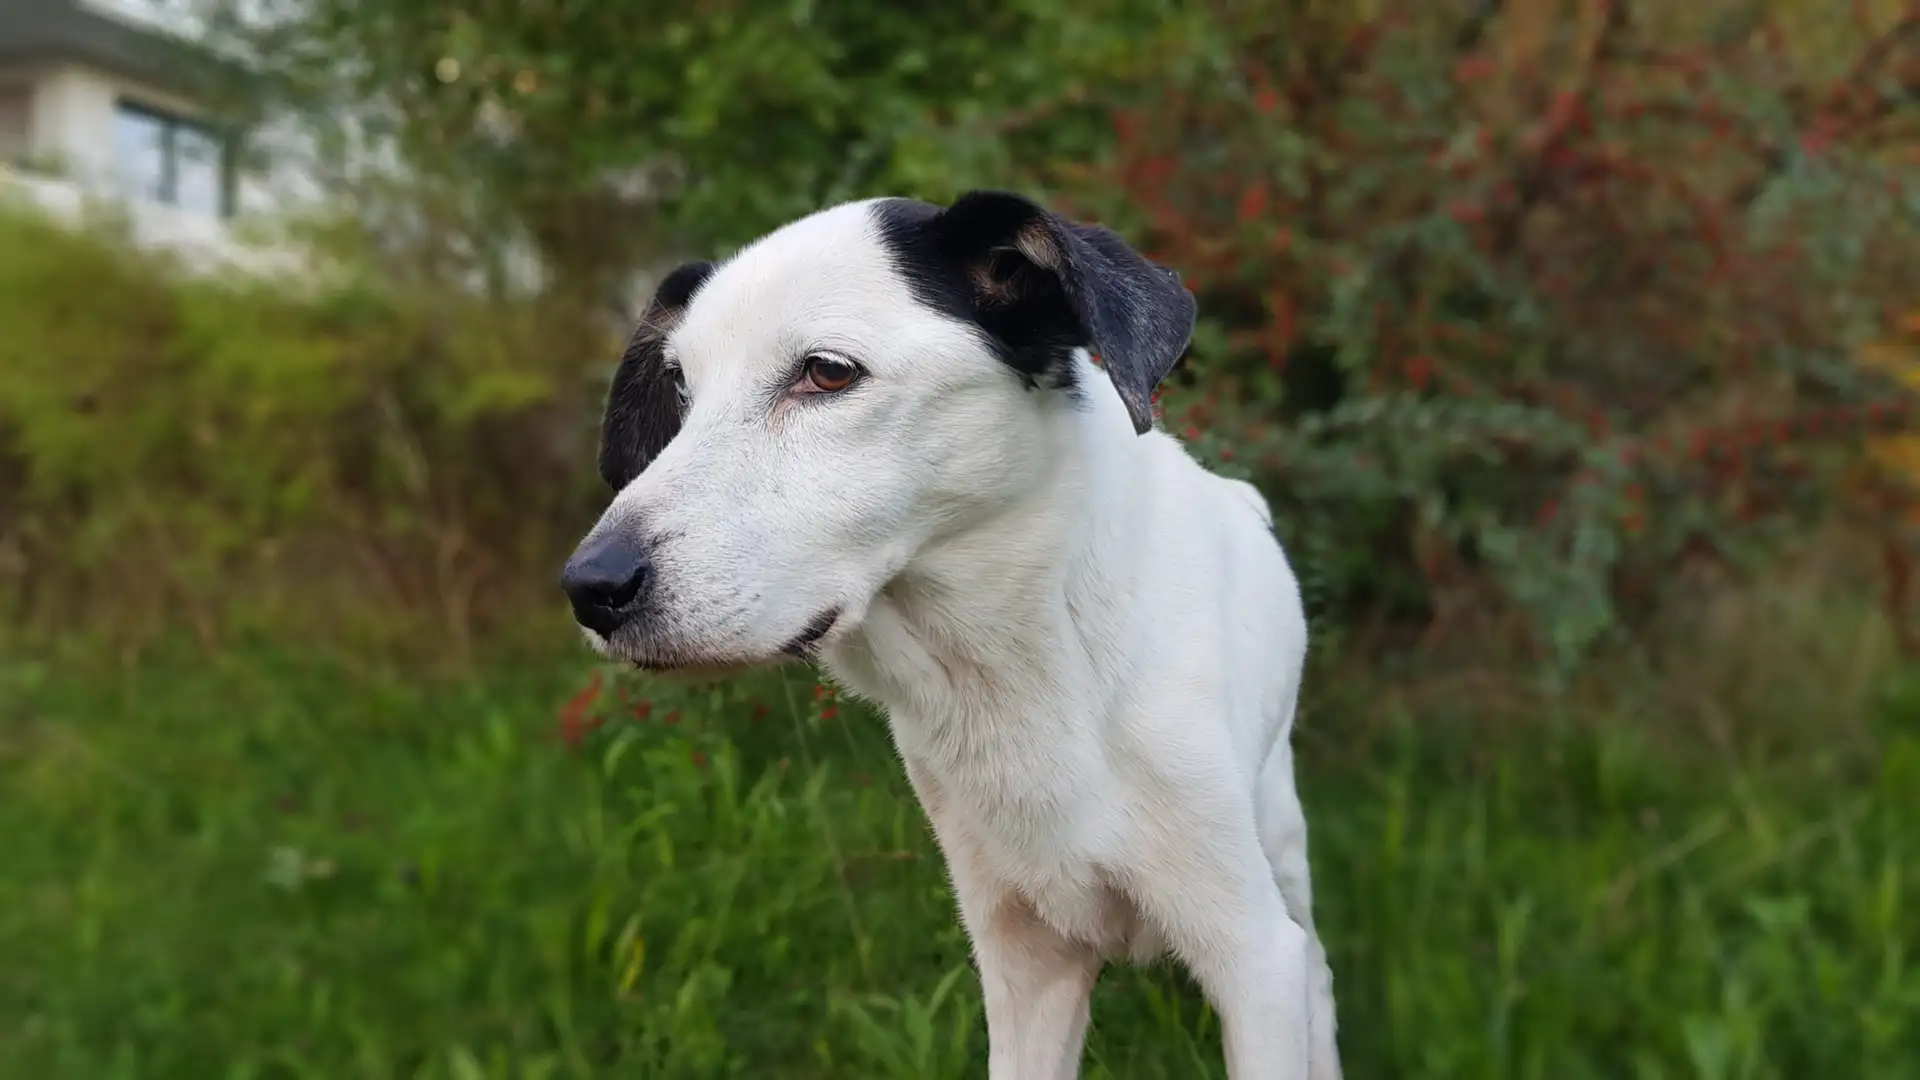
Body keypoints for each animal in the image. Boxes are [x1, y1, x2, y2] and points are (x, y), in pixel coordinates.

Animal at [560, 191, 1341, 1080]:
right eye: (680, 392)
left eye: (829, 372)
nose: (590, 589)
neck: (1034, 673)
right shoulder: (1024, 959)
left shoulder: (1251, 958)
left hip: (1278, 842)